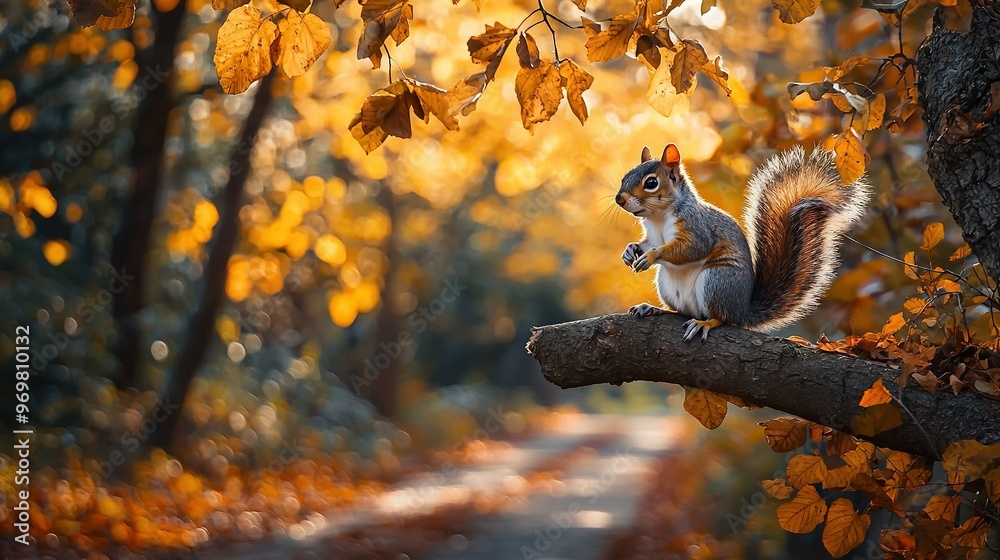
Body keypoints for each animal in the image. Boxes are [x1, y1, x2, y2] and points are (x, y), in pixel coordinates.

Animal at [616, 143, 869, 341]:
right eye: (625, 177)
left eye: (651, 183)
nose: (620, 199)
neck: (658, 217)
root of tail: (742, 310)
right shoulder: (653, 235)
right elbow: (647, 243)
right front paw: (630, 250)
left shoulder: (698, 228)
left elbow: (693, 248)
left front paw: (651, 256)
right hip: (668, 287)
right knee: (682, 313)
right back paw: (653, 309)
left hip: (717, 281)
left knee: (722, 318)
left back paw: (705, 323)